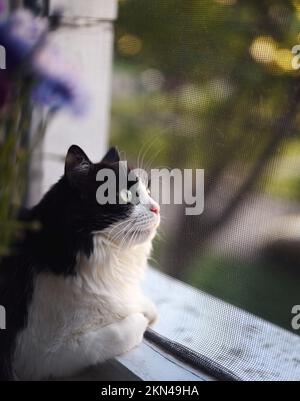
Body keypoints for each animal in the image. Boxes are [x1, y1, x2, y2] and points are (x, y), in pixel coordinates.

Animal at [0, 145, 161, 380]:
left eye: (149, 191)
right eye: (126, 194)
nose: (157, 208)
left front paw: (147, 308)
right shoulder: (39, 355)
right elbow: (117, 334)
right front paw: (141, 319)